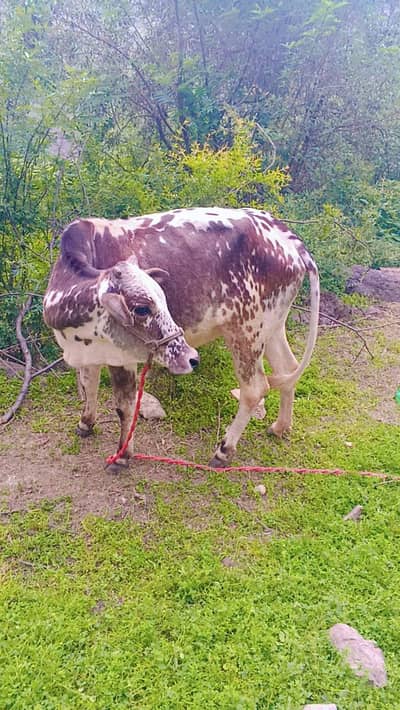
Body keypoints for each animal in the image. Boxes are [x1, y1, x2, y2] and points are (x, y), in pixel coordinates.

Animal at [43, 207, 320, 470]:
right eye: (142, 309)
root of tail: (288, 238)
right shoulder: (88, 351)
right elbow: (88, 384)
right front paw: (86, 423)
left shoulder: (122, 358)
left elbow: (124, 406)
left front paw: (122, 456)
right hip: (272, 326)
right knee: (287, 369)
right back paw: (280, 427)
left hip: (246, 331)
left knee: (255, 389)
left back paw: (224, 450)